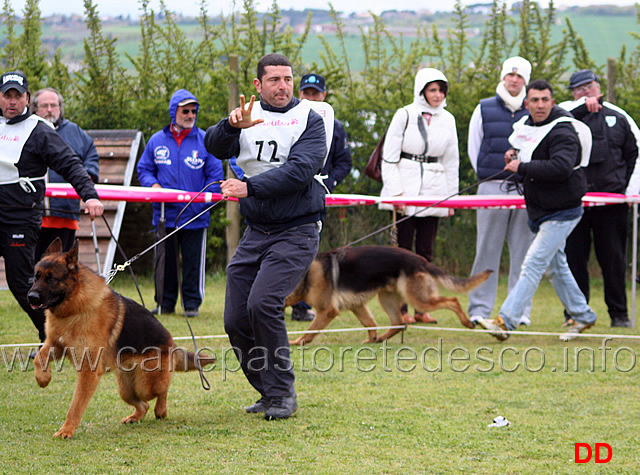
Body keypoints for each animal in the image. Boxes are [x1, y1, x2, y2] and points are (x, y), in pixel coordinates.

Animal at [26, 240, 216, 440]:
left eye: (51, 279)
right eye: (36, 277)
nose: (31, 297)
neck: (75, 306)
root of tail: (171, 344)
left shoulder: (88, 370)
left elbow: (76, 405)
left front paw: (66, 430)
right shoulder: (56, 345)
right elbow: (39, 357)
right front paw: (43, 379)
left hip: (146, 384)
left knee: (161, 391)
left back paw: (161, 410)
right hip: (126, 389)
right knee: (143, 404)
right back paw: (135, 417)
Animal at [284, 245, 490, 346]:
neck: (306, 275)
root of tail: (422, 261)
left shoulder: (327, 311)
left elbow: (310, 331)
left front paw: (297, 342)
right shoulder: (357, 305)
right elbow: (370, 323)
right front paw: (372, 338)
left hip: (419, 300)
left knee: (453, 300)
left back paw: (467, 322)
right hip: (386, 299)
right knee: (399, 323)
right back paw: (381, 339)